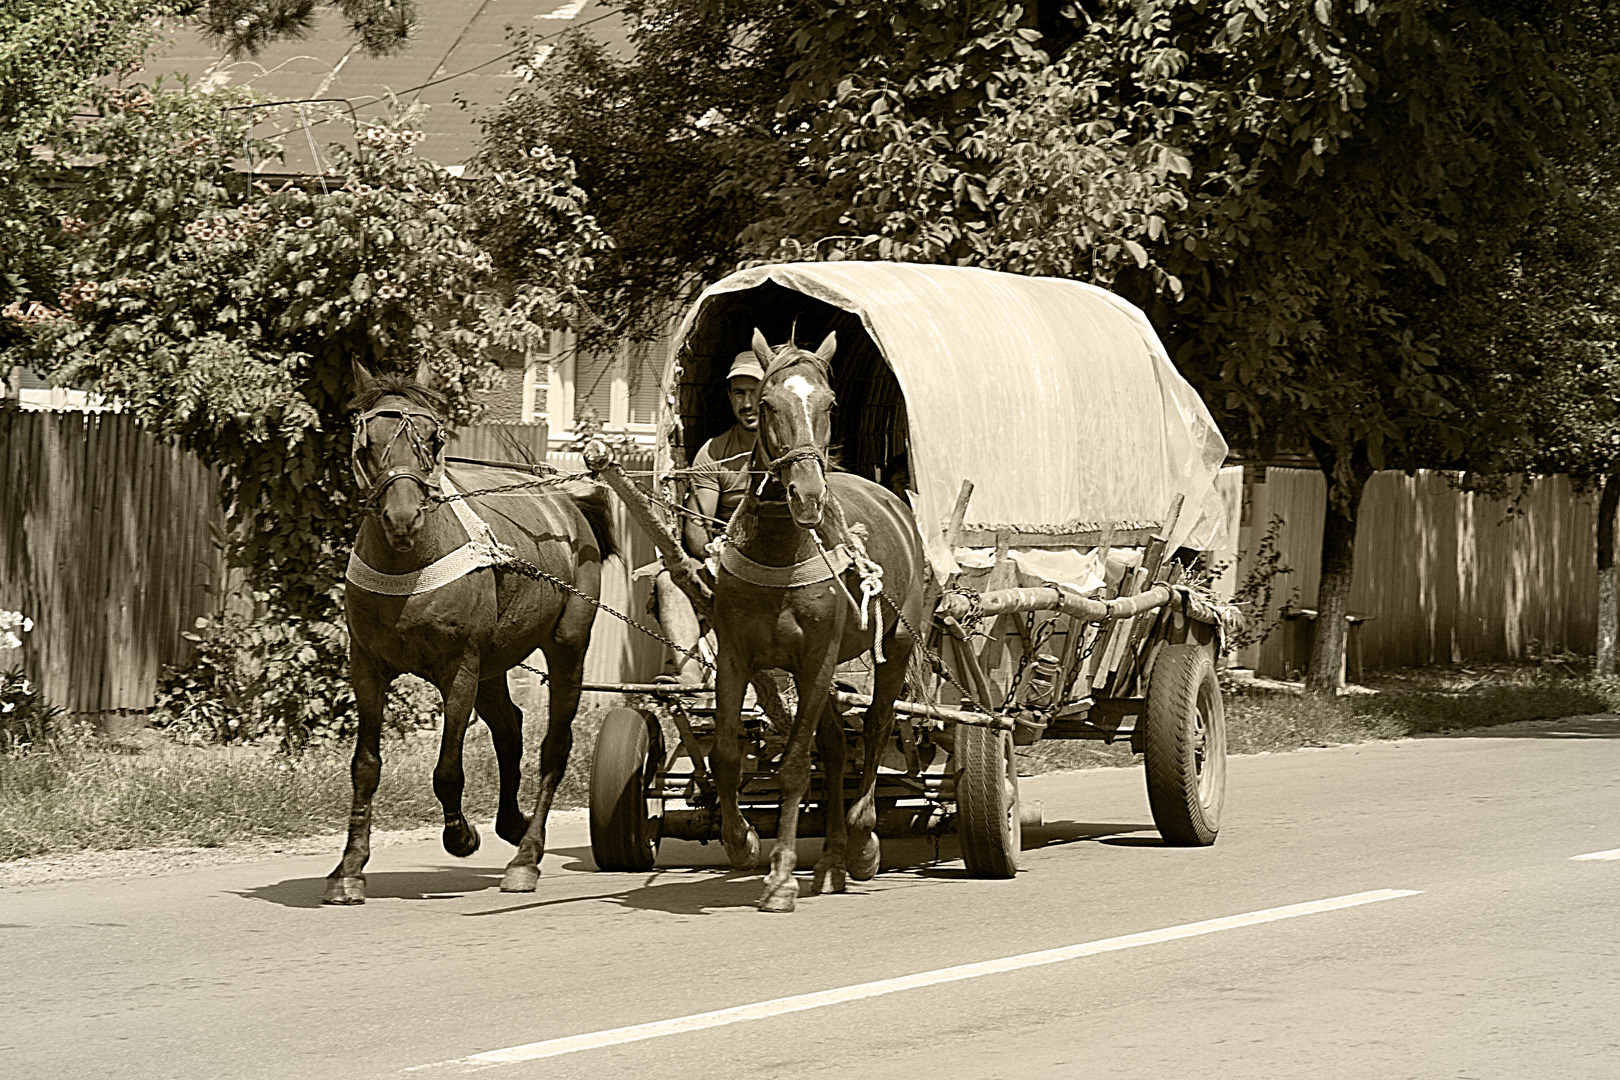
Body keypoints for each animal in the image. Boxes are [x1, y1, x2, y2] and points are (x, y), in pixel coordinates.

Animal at [325, 361, 615, 906]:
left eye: (434, 437)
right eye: (365, 439)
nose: (402, 517)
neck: (409, 567)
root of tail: (565, 499)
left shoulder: (460, 667)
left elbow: (447, 770)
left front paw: (461, 835)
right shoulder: (367, 666)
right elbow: (365, 766)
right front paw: (349, 867)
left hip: (565, 647)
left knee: (554, 744)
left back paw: (527, 856)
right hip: (495, 662)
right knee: (510, 726)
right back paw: (514, 824)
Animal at [716, 330, 933, 913]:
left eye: (829, 404)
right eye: (767, 403)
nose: (807, 493)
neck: (781, 549)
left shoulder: (815, 656)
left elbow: (794, 765)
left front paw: (780, 877)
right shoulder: (738, 655)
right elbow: (726, 754)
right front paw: (742, 840)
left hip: (895, 645)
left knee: (876, 727)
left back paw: (859, 840)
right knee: (836, 747)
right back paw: (833, 858)